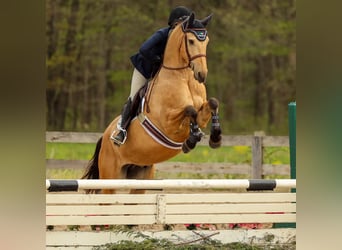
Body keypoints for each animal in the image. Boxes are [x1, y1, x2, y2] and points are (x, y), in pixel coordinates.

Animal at [82, 12, 222, 194]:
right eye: (191, 41)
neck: (183, 77)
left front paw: (215, 138)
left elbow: (212, 103)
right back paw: (119, 135)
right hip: (110, 178)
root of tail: (105, 136)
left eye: (206, 41)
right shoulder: (167, 124)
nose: (201, 74)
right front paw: (191, 139)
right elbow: (189, 110)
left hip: (141, 176)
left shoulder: (202, 114)